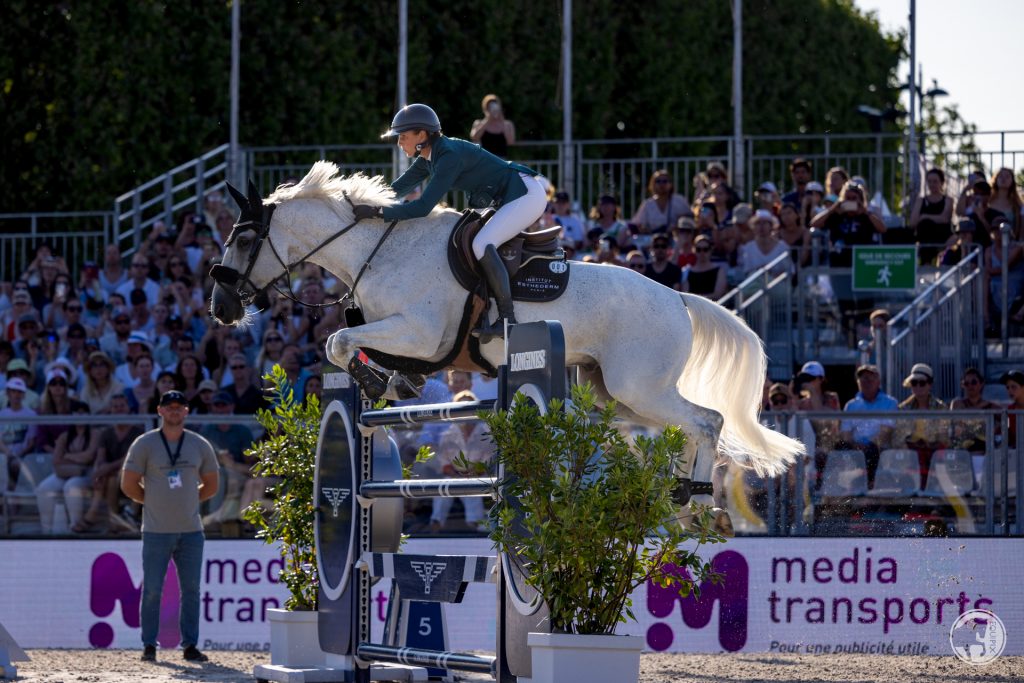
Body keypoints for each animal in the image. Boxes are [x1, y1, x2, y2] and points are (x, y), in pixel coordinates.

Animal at [207, 163, 798, 507]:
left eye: (243, 240)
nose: (220, 307)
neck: (380, 250)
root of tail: (678, 299)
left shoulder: (419, 333)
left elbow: (336, 342)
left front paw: (378, 383)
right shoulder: (401, 335)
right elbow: (352, 342)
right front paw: (398, 384)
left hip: (639, 386)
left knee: (707, 421)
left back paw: (694, 495)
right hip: (611, 393)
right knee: (678, 428)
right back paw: (674, 491)